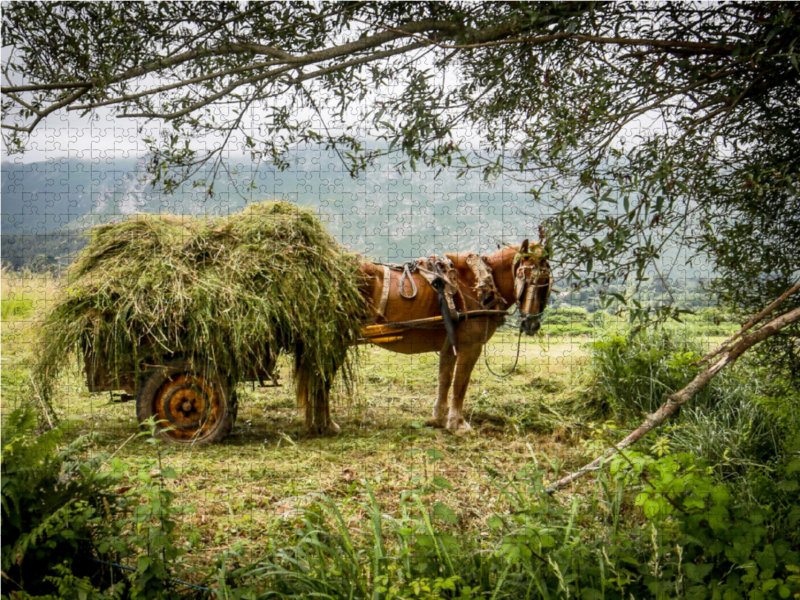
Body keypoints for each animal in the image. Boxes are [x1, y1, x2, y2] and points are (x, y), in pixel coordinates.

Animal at [294, 233, 552, 432]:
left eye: (547, 281)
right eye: (527, 276)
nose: (532, 325)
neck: (478, 285)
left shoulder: (450, 345)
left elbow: (445, 380)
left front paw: (439, 418)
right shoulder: (471, 347)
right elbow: (460, 384)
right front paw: (458, 423)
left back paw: (317, 422)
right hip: (335, 340)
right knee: (323, 379)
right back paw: (326, 424)